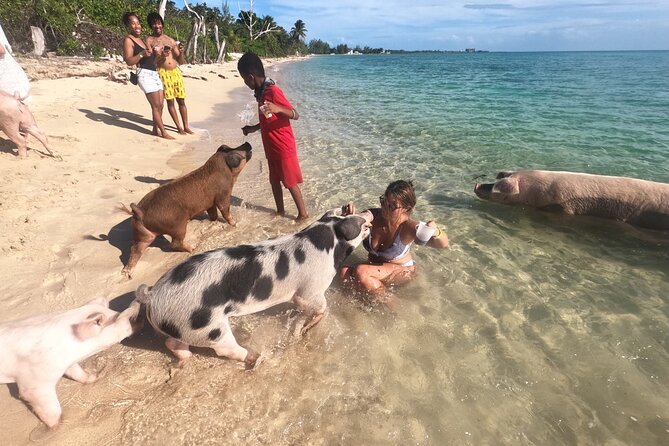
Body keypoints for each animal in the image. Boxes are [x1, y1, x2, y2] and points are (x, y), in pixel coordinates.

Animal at [0, 298, 141, 426]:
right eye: (127, 319)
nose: (140, 320)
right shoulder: (35, 381)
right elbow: (46, 404)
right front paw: (55, 426)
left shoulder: (68, 363)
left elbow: (76, 372)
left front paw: (93, 377)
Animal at [121, 143, 252, 278]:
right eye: (238, 152)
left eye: (227, 147)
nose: (246, 143)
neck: (222, 169)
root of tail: (140, 211)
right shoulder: (223, 195)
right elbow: (225, 210)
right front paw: (235, 224)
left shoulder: (210, 203)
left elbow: (213, 214)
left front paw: (216, 221)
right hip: (177, 226)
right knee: (174, 243)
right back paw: (192, 248)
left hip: (143, 235)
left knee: (134, 249)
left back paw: (127, 273)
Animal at [133, 209, 374, 370]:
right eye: (360, 223)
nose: (368, 212)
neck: (326, 243)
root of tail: (152, 295)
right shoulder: (310, 291)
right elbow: (319, 307)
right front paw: (306, 329)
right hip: (207, 326)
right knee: (226, 349)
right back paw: (256, 358)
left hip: (183, 324)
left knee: (173, 342)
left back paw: (185, 357)